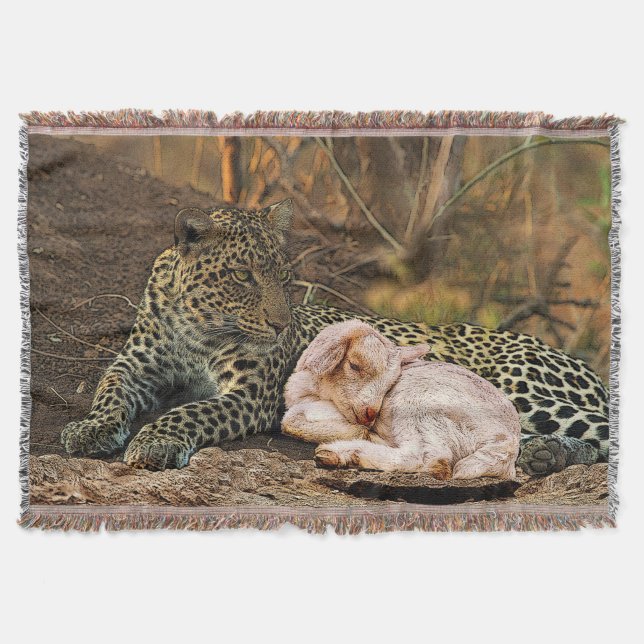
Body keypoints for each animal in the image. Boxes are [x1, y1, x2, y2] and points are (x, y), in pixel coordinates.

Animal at [61, 199, 609, 477]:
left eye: (283, 276)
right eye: (242, 276)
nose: (281, 325)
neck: (198, 324)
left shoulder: (252, 394)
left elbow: (192, 410)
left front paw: (156, 441)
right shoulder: (134, 365)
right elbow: (109, 391)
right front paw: (90, 430)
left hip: (513, 387)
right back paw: (544, 455)